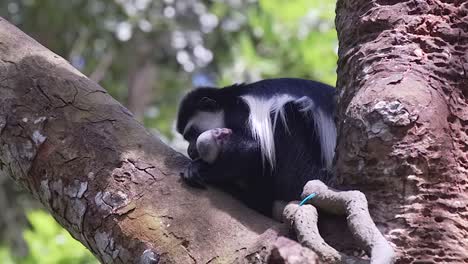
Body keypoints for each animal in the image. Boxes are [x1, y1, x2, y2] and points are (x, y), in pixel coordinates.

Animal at [176, 78, 336, 217]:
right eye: (186, 138)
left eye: (192, 133)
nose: (190, 151)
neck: (230, 101)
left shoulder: (241, 111)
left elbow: (254, 148)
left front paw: (199, 168)